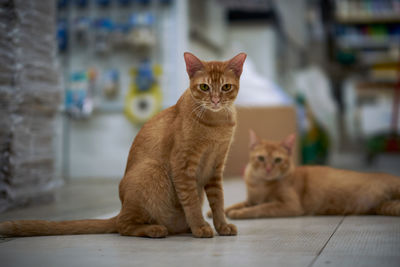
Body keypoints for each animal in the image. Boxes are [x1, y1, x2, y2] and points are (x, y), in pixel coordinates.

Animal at [222, 130, 400, 220]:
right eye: (261, 158)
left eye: (278, 160)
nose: (268, 168)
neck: (261, 184)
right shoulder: (250, 199)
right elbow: (237, 204)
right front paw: (223, 211)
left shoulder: (290, 205)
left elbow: (261, 208)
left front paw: (238, 213)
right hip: (387, 207)